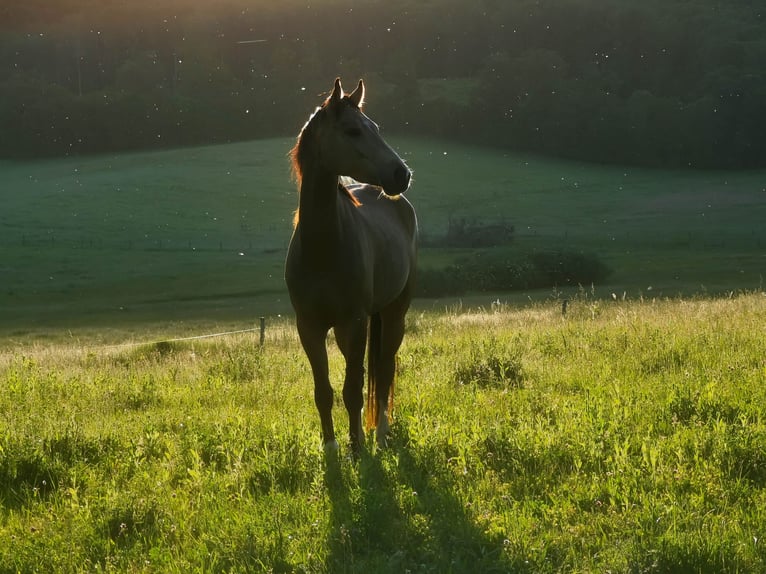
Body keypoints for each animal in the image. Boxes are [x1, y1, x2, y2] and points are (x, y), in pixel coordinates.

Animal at [285, 78, 417, 453]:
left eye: (375, 128)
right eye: (353, 130)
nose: (401, 174)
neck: (323, 248)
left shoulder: (354, 323)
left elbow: (353, 391)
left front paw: (358, 449)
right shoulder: (309, 327)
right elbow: (324, 392)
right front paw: (331, 449)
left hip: (393, 315)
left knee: (384, 371)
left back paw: (382, 434)